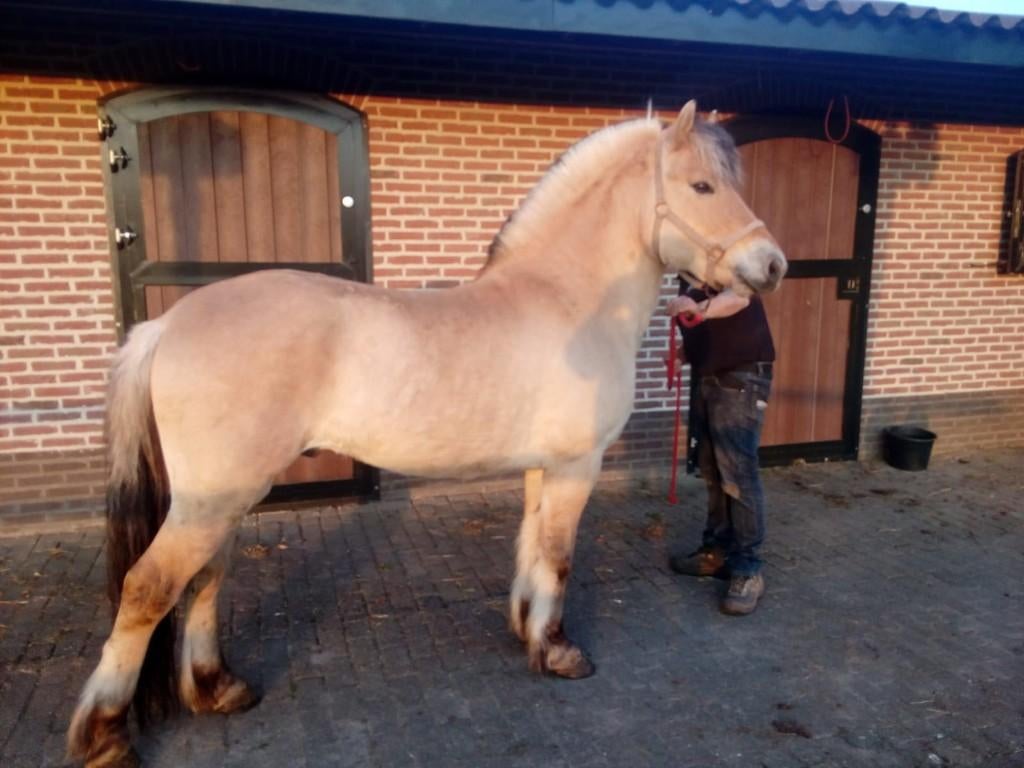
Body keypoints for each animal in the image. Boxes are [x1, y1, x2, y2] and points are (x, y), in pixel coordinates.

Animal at [68, 101, 786, 767]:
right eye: (702, 186)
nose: (774, 264)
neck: (567, 302)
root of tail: (168, 324)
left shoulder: (541, 468)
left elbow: (529, 549)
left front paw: (525, 629)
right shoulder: (575, 466)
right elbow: (558, 557)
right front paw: (558, 652)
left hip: (221, 496)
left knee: (205, 579)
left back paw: (217, 688)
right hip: (213, 498)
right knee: (149, 587)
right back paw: (105, 735)